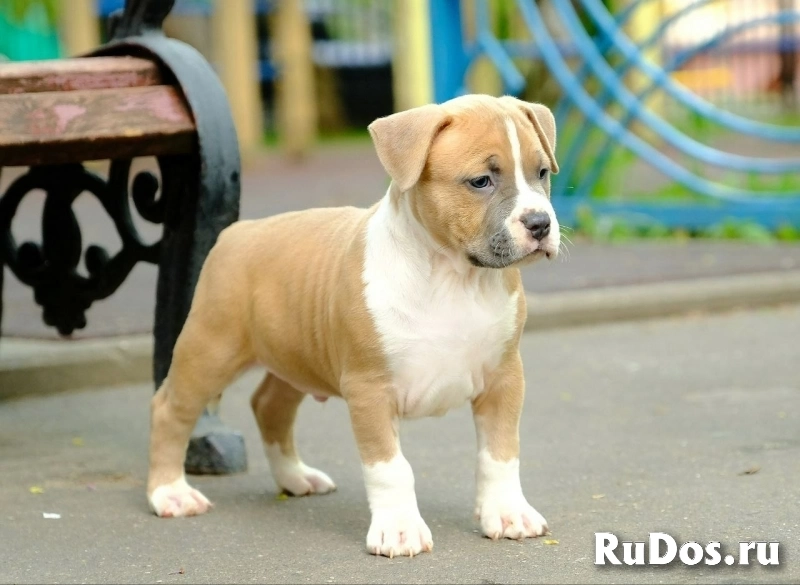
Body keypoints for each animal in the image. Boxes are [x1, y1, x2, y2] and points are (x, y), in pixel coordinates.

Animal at [146, 93, 561, 558]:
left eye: (541, 173)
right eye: (480, 182)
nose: (540, 223)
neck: (454, 276)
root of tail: (240, 231)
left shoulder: (504, 378)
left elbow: (500, 455)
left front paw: (508, 513)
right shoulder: (370, 389)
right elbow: (390, 468)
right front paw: (399, 529)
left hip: (294, 356)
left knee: (269, 406)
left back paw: (295, 477)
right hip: (210, 349)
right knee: (171, 409)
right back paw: (170, 493)